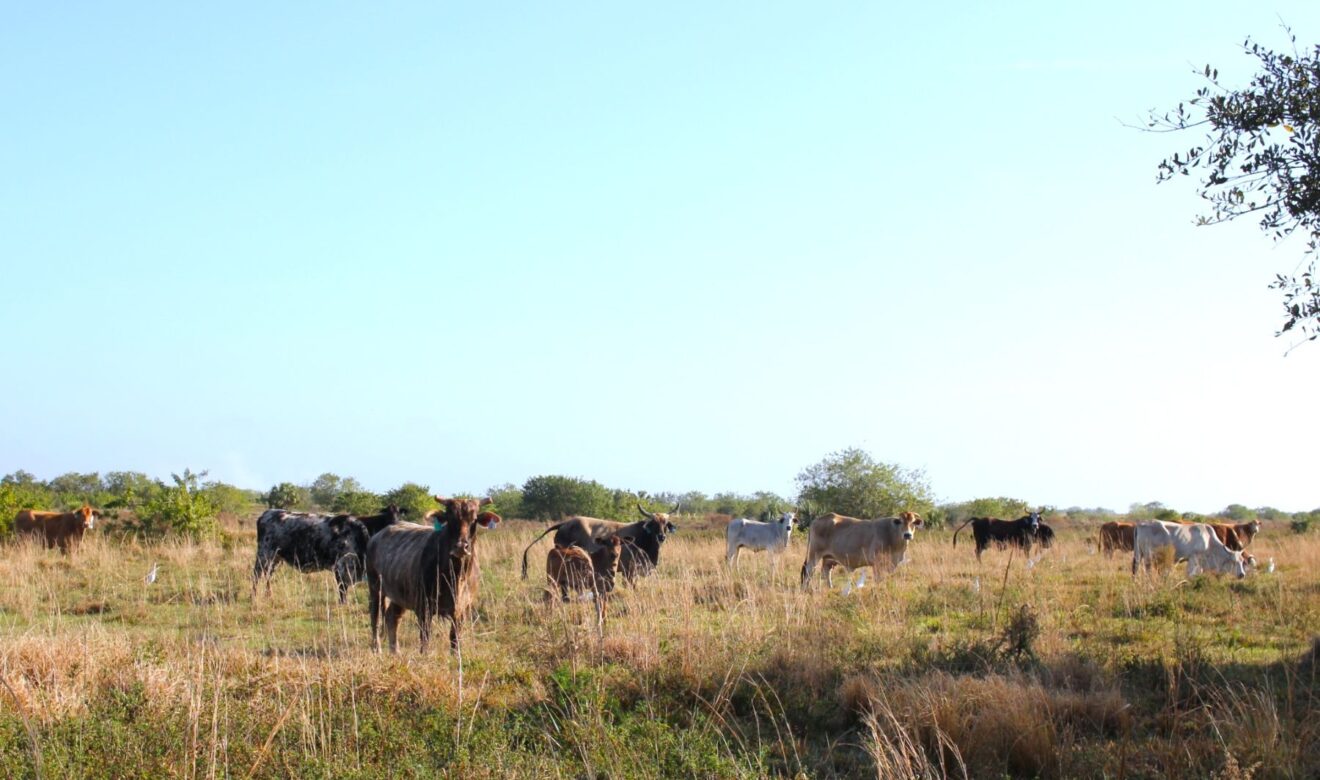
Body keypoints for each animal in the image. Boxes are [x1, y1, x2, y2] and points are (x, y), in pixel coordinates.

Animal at [252, 505, 407, 602]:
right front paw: (343, 605)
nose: (395, 524)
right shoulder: (341, 567)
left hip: (275, 558)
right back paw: (253, 596)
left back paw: (268, 596)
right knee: (256, 576)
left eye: (399, 514)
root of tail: (268, 513)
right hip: (264, 554)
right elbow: (342, 590)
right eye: (387, 516)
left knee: (268, 575)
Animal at [366, 496, 499, 654]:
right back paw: (377, 648)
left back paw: (395, 651)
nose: (461, 546)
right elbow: (425, 639)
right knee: (375, 618)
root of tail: (376, 537)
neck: (456, 576)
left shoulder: (462, 611)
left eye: (474, 520)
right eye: (450, 519)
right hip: (375, 589)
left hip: (399, 595)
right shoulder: (424, 609)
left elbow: (455, 639)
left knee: (392, 617)